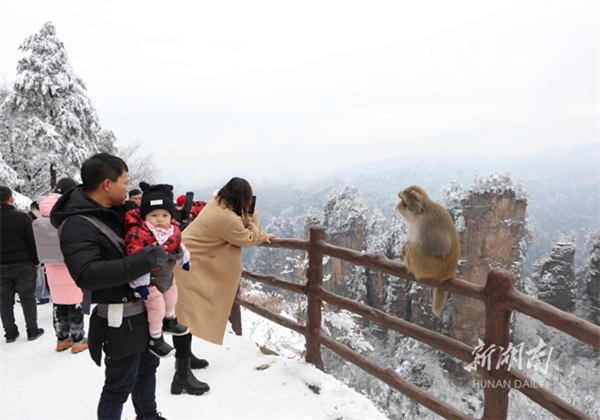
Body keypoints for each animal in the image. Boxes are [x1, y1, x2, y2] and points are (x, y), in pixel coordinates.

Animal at [398, 185, 460, 316]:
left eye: (402, 200)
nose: (398, 204)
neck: (421, 212)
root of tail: (449, 274)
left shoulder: (425, 222)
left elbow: (438, 249)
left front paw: (406, 247)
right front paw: (404, 246)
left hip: (433, 269)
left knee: (413, 250)